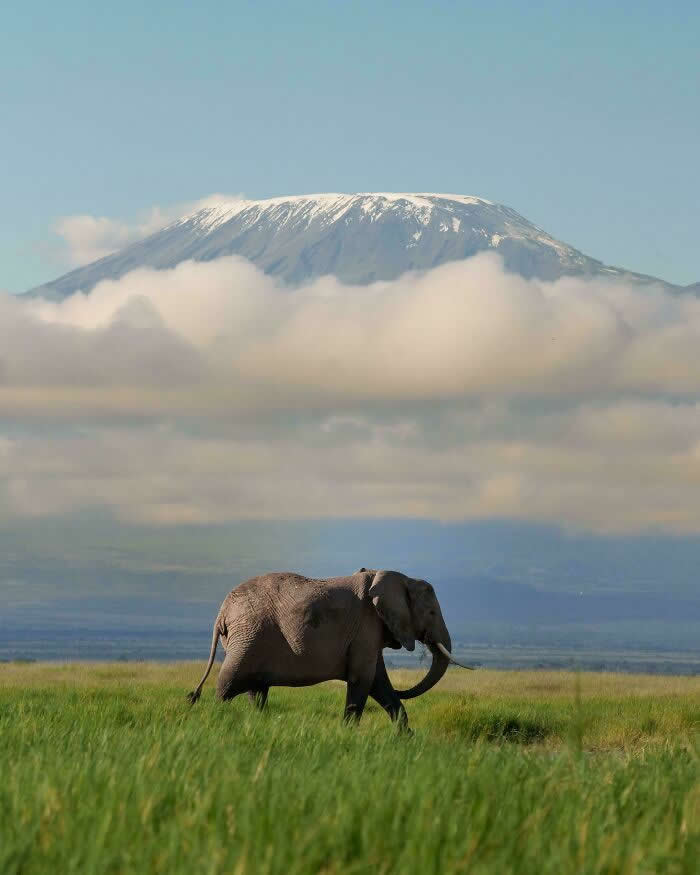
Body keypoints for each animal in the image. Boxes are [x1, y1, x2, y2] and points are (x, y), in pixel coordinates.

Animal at [187, 568, 471, 728]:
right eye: (431, 612)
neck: (400, 578)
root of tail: (222, 612)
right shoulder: (366, 626)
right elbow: (363, 679)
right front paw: (348, 735)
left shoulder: (370, 632)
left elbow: (379, 682)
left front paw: (406, 741)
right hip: (248, 637)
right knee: (228, 683)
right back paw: (218, 718)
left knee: (257, 689)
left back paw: (256, 721)